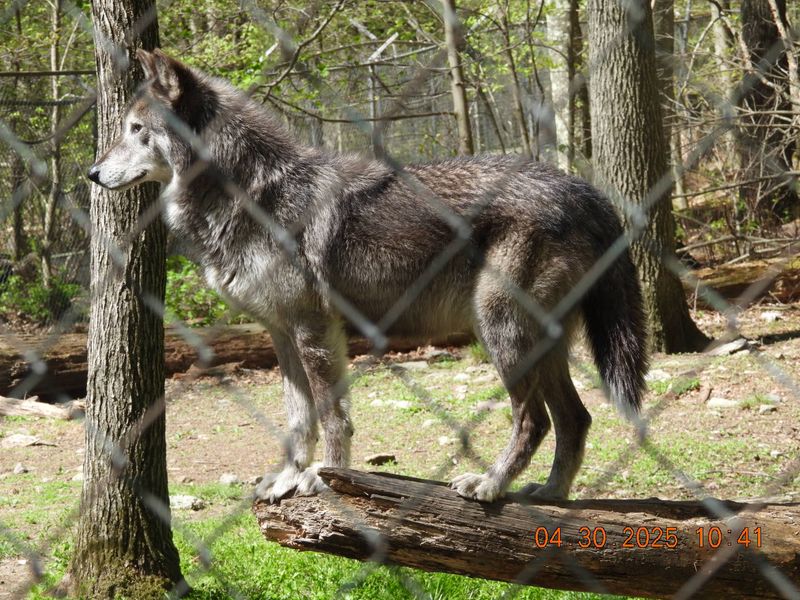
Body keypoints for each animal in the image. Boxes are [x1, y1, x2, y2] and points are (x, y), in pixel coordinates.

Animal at [88, 49, 648, 503]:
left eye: (137, 131)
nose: (91, 174)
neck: (252, 194)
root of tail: (586, 191)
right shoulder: (281, 334)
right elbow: (298, 420)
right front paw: (288, 477)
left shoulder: (313, 330)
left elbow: (332, 417)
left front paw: (324, 477)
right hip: (540, 342)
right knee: (576, 418)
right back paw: (550, 493)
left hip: (501, 331)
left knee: (535, 420)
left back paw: (491, 485)